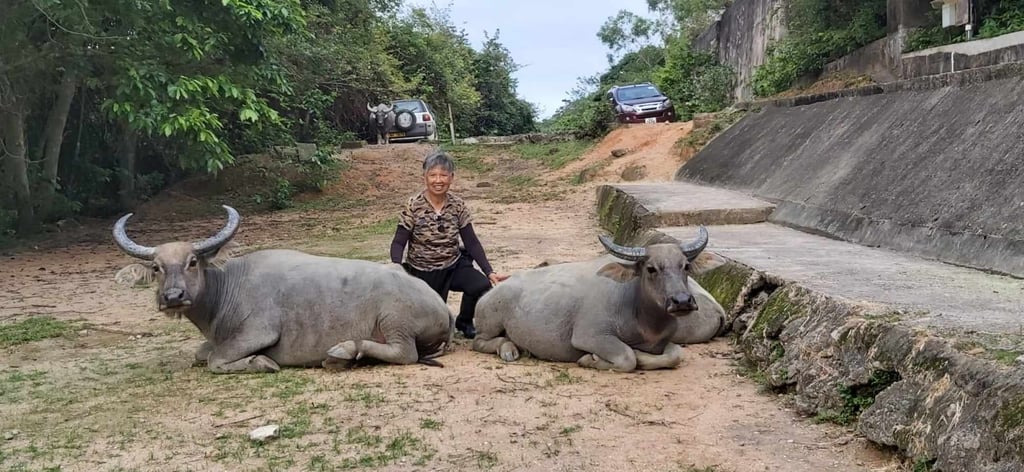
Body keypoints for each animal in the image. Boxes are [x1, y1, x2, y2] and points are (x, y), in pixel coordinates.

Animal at [112, 205, 454, 373]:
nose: (173, 297)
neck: (228, 288)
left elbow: (214, 360)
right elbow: (201, 353)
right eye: (156, 268)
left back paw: (344, 351)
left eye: (192, 261)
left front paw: (260, 363)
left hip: (394, 320)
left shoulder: (258, 333)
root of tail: (443, 307)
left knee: (404, 353)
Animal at [472, 227, 725, 372]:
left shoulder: (665, 342)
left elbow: (675, 356)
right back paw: (509, 350)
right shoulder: (590, 336)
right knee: (480, 342)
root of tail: (491, 292)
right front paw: (590, 359)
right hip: (489, 324)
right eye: (651, 268)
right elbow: (627, 358)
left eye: (685, 266)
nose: (682, 301)